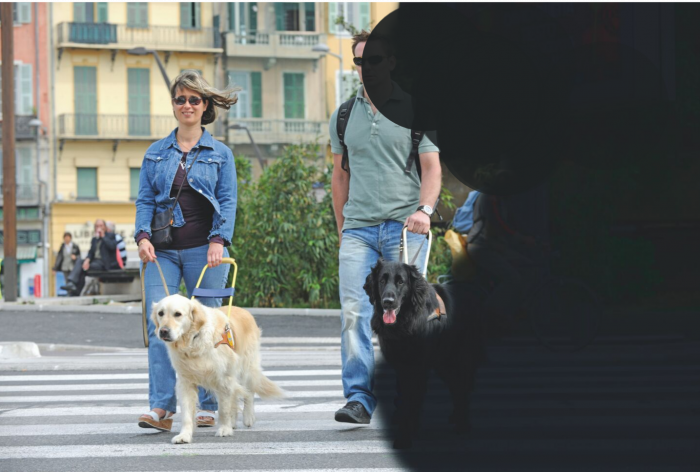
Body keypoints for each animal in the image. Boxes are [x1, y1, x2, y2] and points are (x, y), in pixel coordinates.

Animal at [364, 260, 484, 448]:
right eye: (382, 281)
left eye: (401, 282)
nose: (388, 302)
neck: (405, 323)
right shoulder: (403, 367)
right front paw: (411, 429)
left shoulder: (417, 367)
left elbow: (411, 401)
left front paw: (404, 437)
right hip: (444, 363)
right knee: (457, 388)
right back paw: (457, 417)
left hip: (460, 358)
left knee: (462, 388)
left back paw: (463, 425)